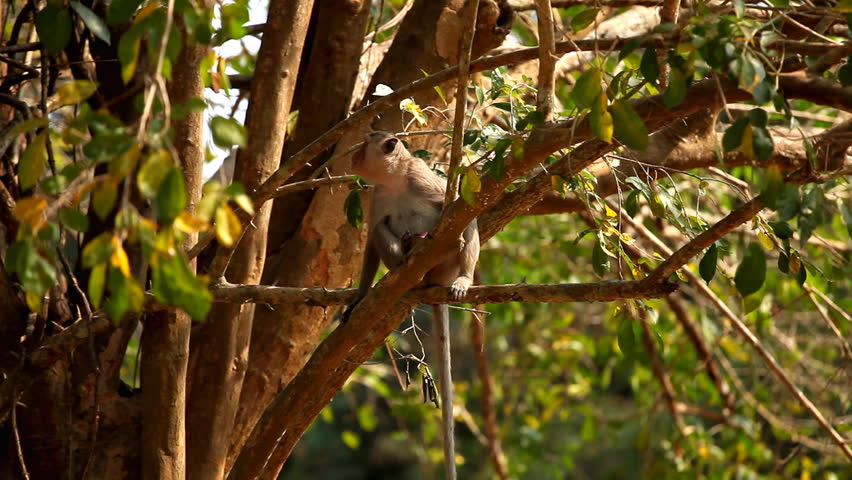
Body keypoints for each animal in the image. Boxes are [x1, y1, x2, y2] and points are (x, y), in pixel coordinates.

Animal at [344, 131, 479, 480]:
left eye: (364, 144)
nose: (352, 156)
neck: (394, 182)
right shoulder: (377, 197)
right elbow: (372, 239)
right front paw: (360, 296)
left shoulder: (420, 178)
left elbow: (461, 211)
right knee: (383, 230)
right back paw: (405, 264)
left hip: (445, 267)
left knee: (456, 235)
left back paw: (450, 270)